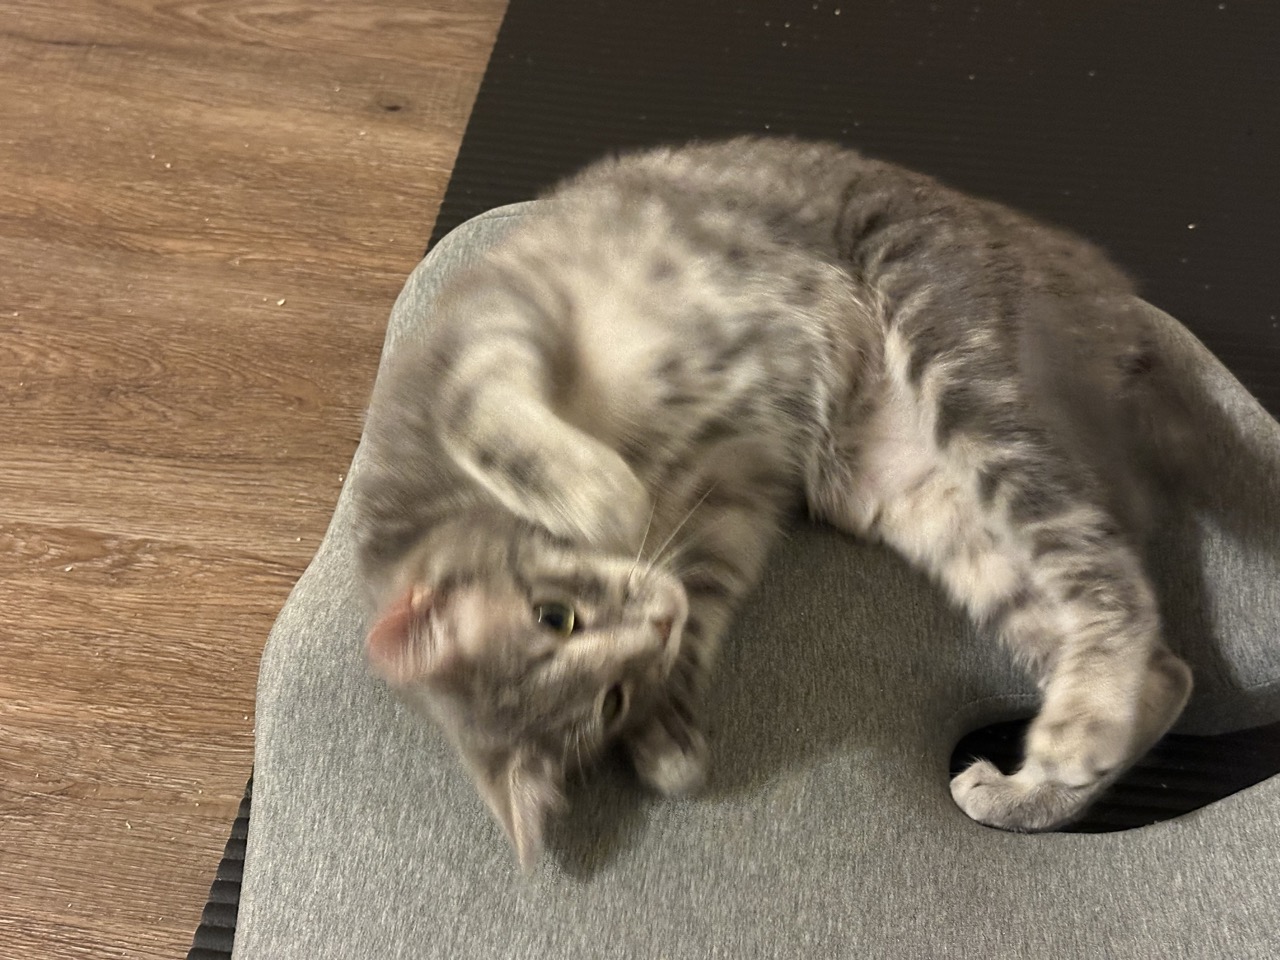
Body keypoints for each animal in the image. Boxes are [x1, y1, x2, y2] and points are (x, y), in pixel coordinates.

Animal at [353, 136, 1196, 869]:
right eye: (610, 702)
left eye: (553, 616)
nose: (653, 627)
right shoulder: (731, 496)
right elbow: (698, 596)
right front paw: (667, 739)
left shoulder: (489, 321)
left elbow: (484, 412)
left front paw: (598, 498)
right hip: (944, 517)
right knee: (1166, 671)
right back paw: (1037, 784)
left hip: (958, 357)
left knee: (1106, 572)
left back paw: (1078, 724)